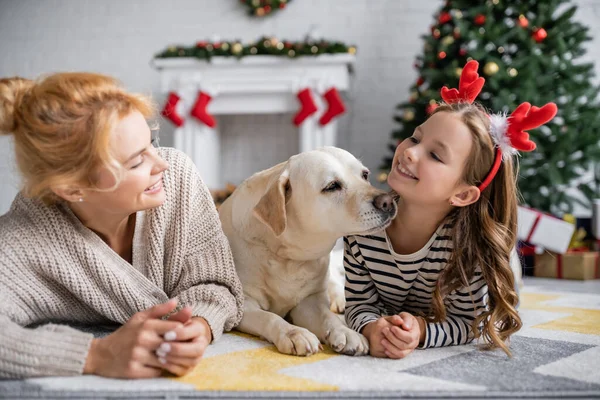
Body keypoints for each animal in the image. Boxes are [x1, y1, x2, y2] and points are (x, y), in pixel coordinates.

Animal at [218, 147, 396, 356]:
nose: (388, 201)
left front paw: (345, 332)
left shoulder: (309, 303)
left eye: (365, 175)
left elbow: (328, 317)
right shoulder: (242, 304)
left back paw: (340, 300)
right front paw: (294, 333)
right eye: (332, 186)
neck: (287, 257)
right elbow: (269, 317)